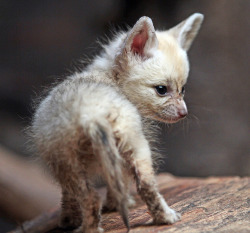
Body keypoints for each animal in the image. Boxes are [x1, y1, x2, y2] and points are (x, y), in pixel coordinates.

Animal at [31, 13, 203, 233]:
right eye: (161, 89)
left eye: (183, 89)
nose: (184, 113)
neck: (111, 78)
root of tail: (92, 115)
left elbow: (71, 196)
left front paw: (69, 219)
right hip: (129, 148)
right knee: (144, 186)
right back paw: (165, 218)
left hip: (71, 164)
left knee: (92, 197)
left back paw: (90, 228)